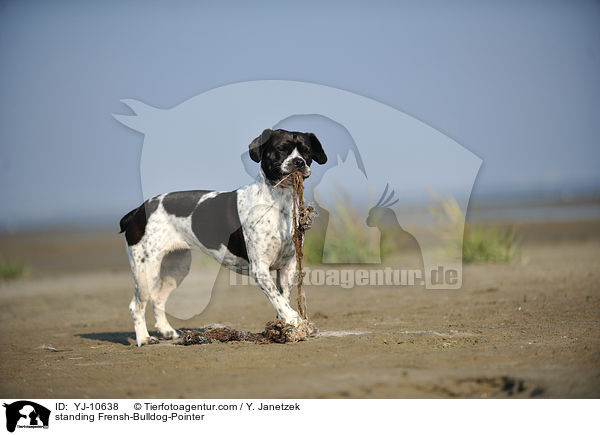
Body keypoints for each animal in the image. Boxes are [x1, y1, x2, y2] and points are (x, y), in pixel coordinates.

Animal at [119, 127, 328, 346]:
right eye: (281, 149)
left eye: (306, 152)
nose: (299, 162)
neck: (279, 204)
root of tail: (137, 211)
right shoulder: (260, 268)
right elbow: (277, 299)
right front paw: (294, 320)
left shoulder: (287, 266)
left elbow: (282, 299)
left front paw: (283, 327)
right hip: (146, 269)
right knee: (136, 305)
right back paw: (144, 338)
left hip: (176, 267)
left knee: (158, 299)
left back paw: (167, 332)